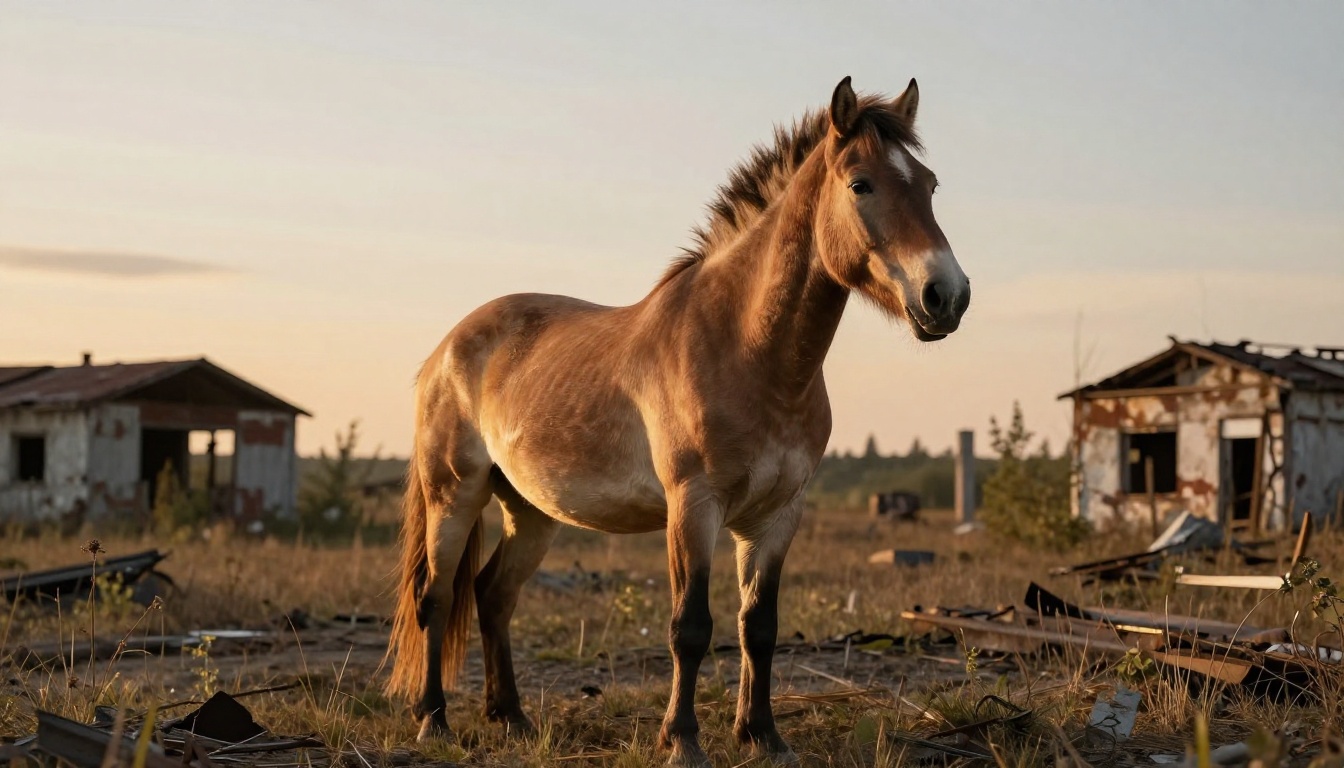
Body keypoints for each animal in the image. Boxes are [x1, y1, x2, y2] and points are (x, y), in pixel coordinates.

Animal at [385, 76, 970, 766]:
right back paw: (433, 721)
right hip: (454, 495)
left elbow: (758, 627)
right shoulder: (693, 505)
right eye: (861, 184)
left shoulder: (777, 516)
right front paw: (683, 739)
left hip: (530, 510)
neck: (746, 349)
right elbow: (690, 628)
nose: (947, 296)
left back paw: (513, 718)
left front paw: (763, 735)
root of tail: (446, 350)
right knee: (437, 597)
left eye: (929, 184)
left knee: (493, 595)